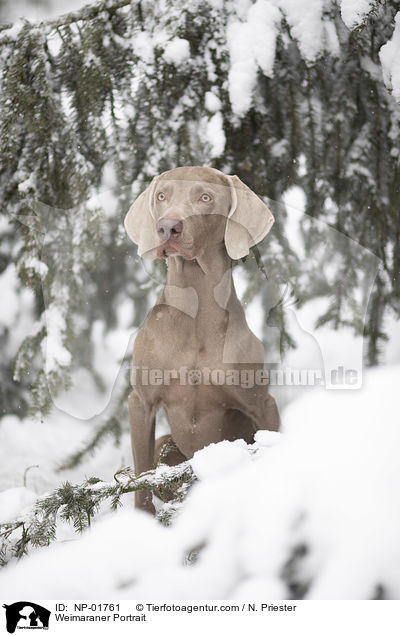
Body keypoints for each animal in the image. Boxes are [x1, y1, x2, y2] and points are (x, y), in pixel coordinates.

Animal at [124, 165, 278, 512]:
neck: (196, 313)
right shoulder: (141, 402)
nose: (167, 227)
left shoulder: (263, 404)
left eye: (205, 197)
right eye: (162, 196)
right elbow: (142, 480)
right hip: (164, 441)